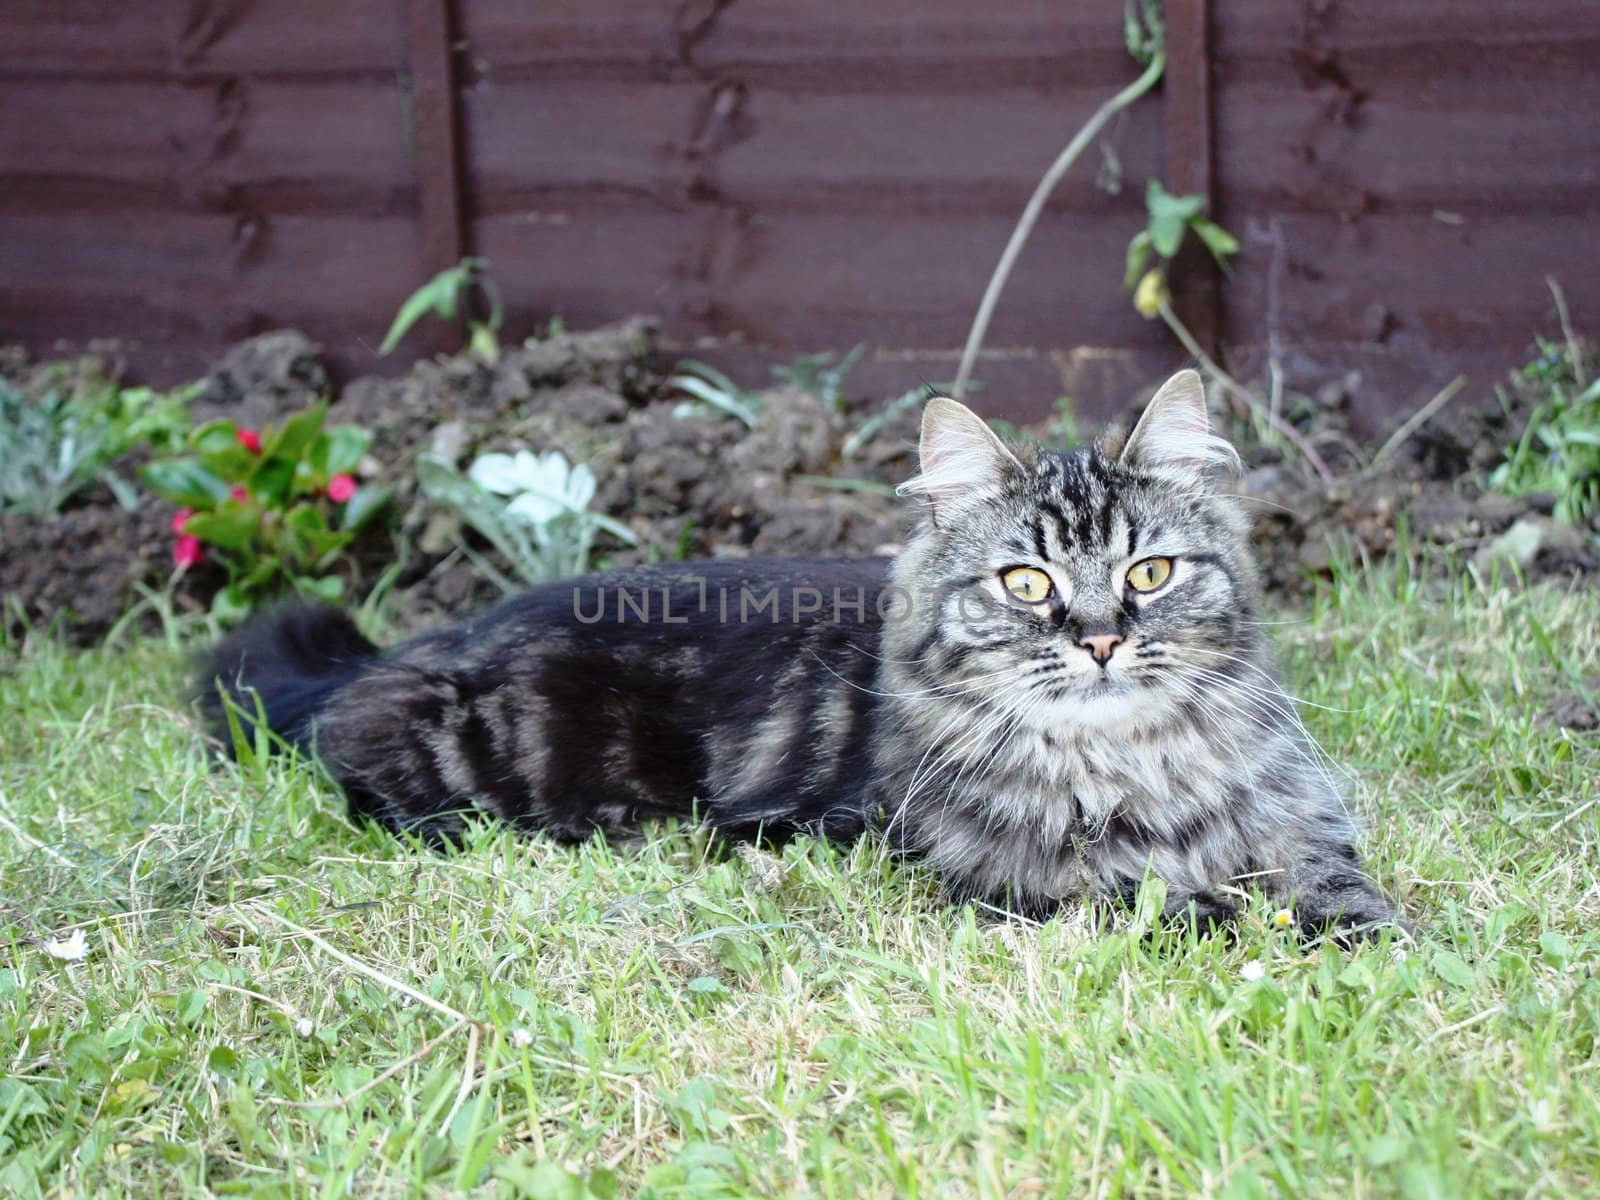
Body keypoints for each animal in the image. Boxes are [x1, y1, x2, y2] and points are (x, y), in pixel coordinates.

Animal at [200, 374, 1401, 940]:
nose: (1102, 639)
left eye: (1147, 573)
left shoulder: (1296, 820)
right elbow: (1168, 906)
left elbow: (1337, 889)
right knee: (368, 781)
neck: (1134, 768)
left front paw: (1368, 938)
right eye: (1027, 585)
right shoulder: (1004, 879)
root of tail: (423, 638)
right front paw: (1247, 926)